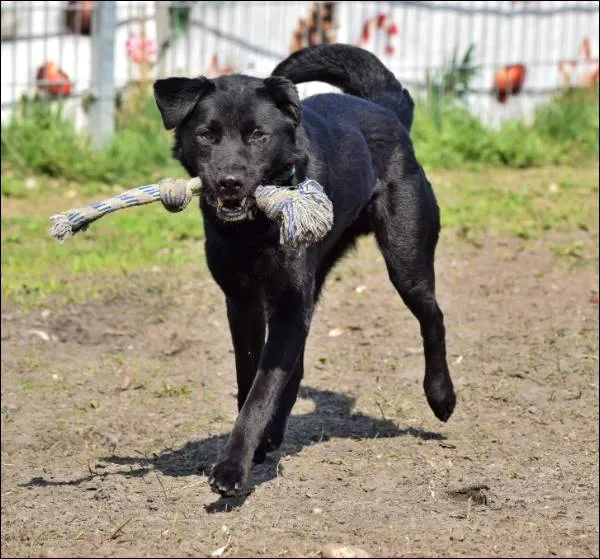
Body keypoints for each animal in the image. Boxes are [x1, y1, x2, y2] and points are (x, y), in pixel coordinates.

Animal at [154, 44, 454, 498]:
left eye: (258, 135)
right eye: (206, 134)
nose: (229, 182)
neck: (254, 229)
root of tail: (386, 108)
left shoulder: (288, 304)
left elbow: (262, 389)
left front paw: (232, 468)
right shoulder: (243, 302)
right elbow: (252, 378)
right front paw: (252, 446)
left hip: (406, 260)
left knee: (433, 315)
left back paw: (441, 396)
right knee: (293, 368)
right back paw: (274, 434)